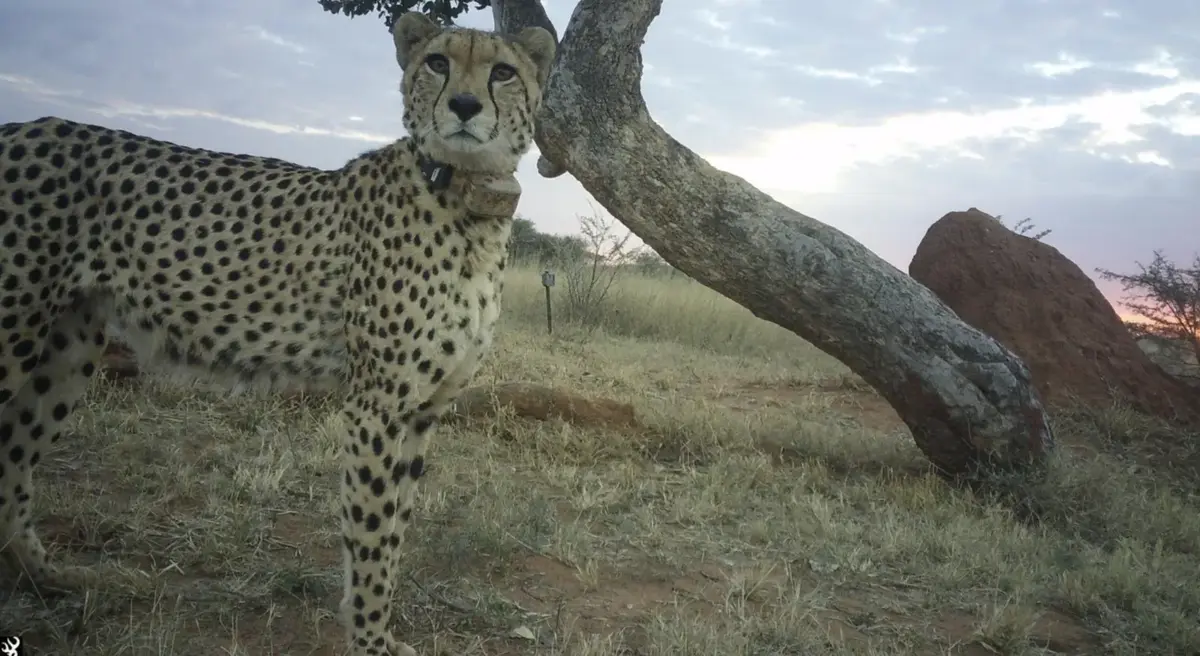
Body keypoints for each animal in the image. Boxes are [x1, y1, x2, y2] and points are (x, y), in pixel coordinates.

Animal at [0, 11, 556, 656]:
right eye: (438, 62)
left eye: (503, 72)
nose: (465, 105)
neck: (467, 200)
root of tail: (22, 127)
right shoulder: (376, 406)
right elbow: (371, 533)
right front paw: (368, 639)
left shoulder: (423, 410)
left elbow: (393, 532)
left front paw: (380, 632)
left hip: (65, 353)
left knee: (11, 464)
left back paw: (49, 577)